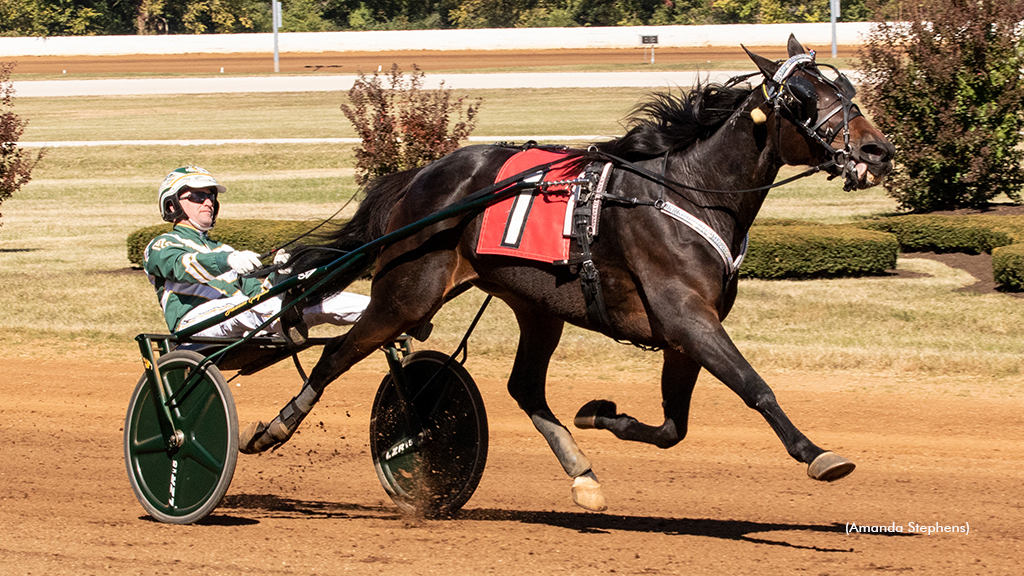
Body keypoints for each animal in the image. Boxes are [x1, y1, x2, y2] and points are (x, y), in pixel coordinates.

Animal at [241, 36, 897, 510]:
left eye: (849, 88)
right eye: (804, 98)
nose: (877, 151)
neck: (688, 191)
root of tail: (422, 177)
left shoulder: (683, 333)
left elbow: (673, 428)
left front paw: (602, 414)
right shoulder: (687, 316)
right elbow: (754, 386)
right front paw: (817, 453)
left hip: (536, 306)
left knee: (524, 387)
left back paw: (582, 473)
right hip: (408, 294)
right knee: (336, 356)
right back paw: (273, 429)